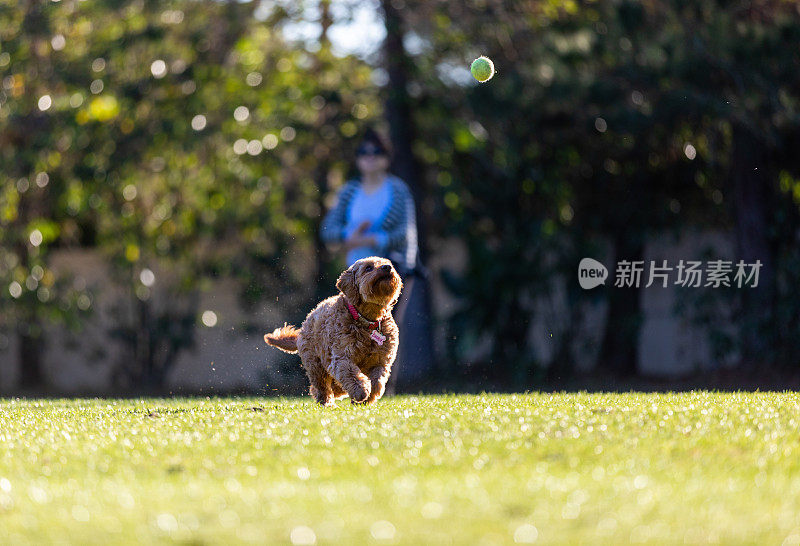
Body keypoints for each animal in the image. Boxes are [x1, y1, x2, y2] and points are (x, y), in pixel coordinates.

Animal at [266, 256, 404, 404]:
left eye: (389, 264)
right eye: (368, 268)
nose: (387, 267)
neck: (368, 321)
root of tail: (304, 325)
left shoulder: (381, 361)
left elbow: (377, 381)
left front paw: (368, 397)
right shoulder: (341, 357)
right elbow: (351, 374)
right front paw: (361, 391)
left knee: (334, 387)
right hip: (316, 365)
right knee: (322, 388)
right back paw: (326, 402)